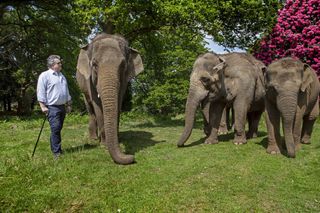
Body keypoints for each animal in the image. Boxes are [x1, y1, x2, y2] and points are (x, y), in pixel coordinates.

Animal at [75, 32, 143, 165]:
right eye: (94, 64)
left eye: (123, 65)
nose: (131, 157)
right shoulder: (89, 79)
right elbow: (97, 105)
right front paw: (104, 145)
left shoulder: (124, 81)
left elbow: (118, 102)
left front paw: (117, 139)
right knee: (90, 109)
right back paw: (93, 139)